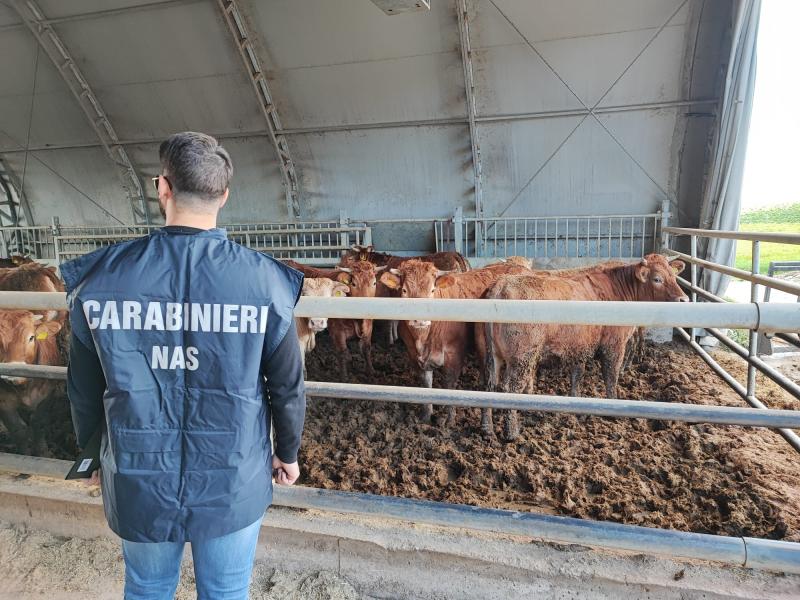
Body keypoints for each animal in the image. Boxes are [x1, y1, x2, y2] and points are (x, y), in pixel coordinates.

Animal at [382, 260, 532, 424]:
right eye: (404, 290)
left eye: (432, 290)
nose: (419, 320)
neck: (423, 339)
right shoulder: (413, 355)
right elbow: (425, 384)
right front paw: (426, 416)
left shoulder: (454, 352)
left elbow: (449, 384)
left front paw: (449, 419)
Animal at [482, 253, 688, 440]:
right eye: (657, 278)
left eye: (673, 275)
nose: (684, 299)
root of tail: (501, 284)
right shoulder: (614, 345)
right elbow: (611, 377)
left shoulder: (579, 346)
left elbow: (577, 376)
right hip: (522, 357)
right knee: (510, 389)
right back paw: (512, 433)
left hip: (492, 356)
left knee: (489, 386)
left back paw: (488, 430)